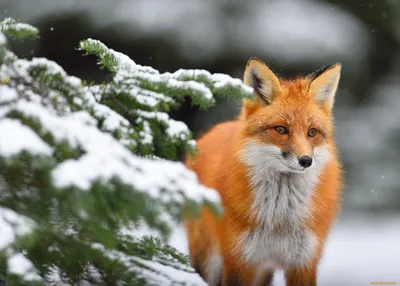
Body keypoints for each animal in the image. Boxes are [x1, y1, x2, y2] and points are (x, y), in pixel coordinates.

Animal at [184, 58, 344, 286]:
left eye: (312, 132)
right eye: (281, 129)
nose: (306, 161)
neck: (280, 219)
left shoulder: (304, 262)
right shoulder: (238, 260)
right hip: (208, 259)